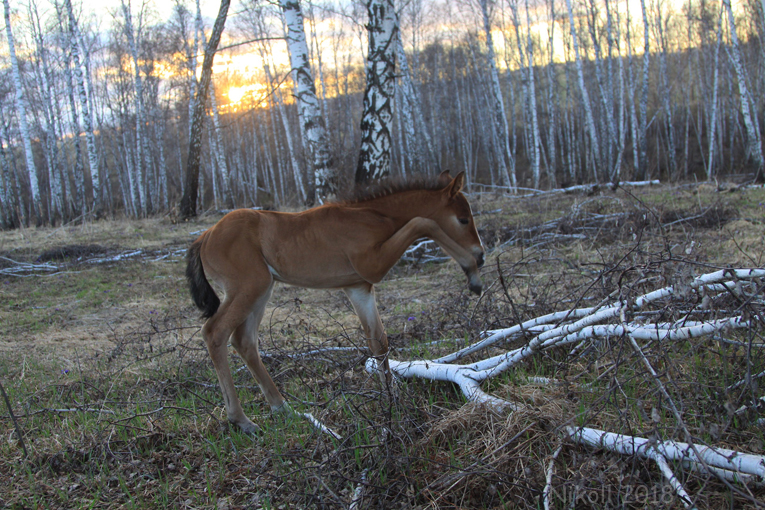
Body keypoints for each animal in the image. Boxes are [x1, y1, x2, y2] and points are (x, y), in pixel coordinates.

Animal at [186, 170, 484, 430]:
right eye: (463, 219)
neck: (373, 217)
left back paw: (282, 408)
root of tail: (204, 237)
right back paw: (242, 420)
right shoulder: (372, 266)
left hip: (261, 290)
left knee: (244, 341)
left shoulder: (358, 287)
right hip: (249, 287)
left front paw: (393, 401)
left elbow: (378, 341)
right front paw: (471, 272)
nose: (481, 255)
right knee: (214, 332)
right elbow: (425, 222)